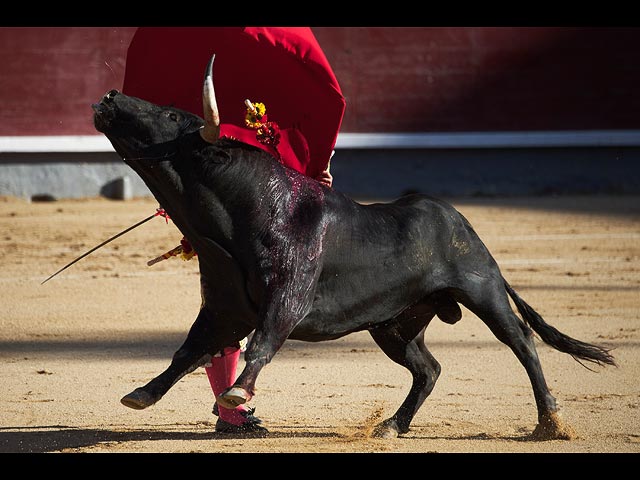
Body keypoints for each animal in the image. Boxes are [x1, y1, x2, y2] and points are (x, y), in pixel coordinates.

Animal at [91, 84, 616, 440]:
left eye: (170, 113)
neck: (243, 213)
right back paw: (392, 425)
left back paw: (551, 422)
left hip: (482, 289)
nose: (111, 96)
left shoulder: (288, 294)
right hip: (394, 324)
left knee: (522, 344)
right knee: (428, 369)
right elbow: (188, 351)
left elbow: (262, 342)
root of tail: (461, 223)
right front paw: (143, 394)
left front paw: (238, 392)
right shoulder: (223, 308)